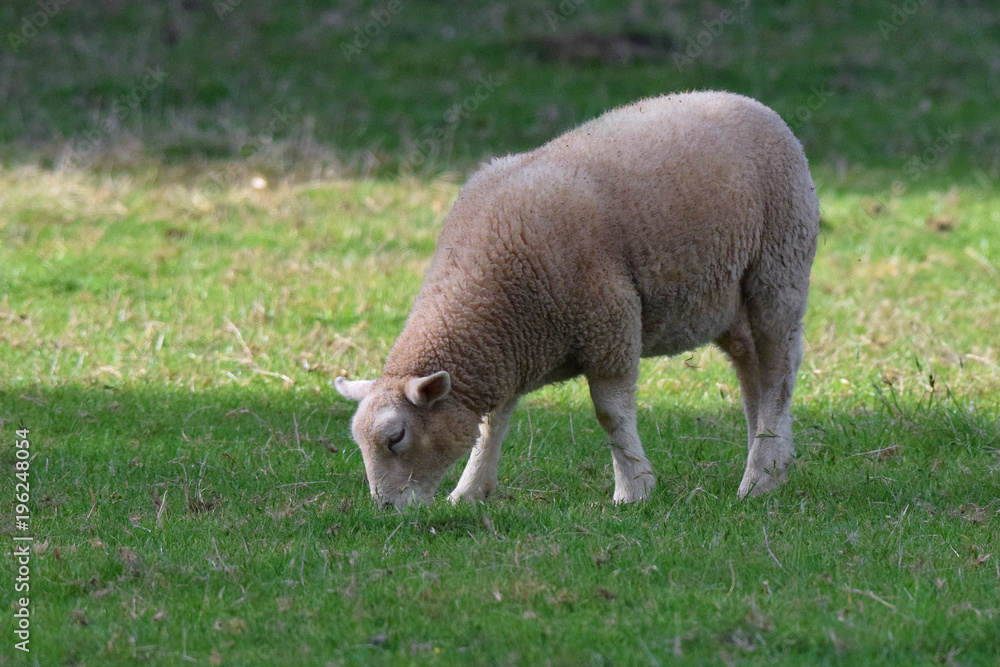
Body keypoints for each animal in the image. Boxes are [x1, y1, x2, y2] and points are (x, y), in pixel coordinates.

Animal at [336, 90, 820, 509]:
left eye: (395, 438)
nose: (384, 508)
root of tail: (753, 104)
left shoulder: (611, 326)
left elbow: (611, 415)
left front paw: (634, 489)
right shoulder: (509, 351)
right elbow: (492, 425)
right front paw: (471, 491)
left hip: (779, 265)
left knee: (779, 369)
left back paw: (759, 475)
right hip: (725, 300)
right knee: (752, 368)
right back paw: (772, 460)